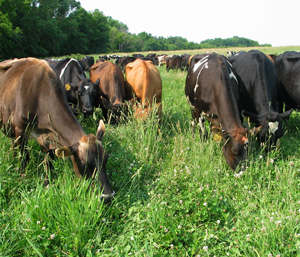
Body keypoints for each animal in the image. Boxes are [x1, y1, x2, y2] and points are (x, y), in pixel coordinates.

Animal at [0, 57, 115, 200]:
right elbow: (24, 159)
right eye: (84, 164)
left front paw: (47, 184)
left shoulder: (49, 136)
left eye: (106, 158)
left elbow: (48, 162)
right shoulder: (20, 131)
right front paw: (21, 180)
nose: (108, 196)